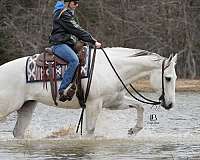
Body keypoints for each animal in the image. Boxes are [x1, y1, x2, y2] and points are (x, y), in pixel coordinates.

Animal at [0, 47, 177, 138]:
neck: (111, 68)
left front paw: (133, 130)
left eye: (175, 78)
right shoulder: (94, 105)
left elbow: (140, 106)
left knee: (18, 132)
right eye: (167, 78)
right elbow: (90, 132)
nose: (170, 104)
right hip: (7, 107)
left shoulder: (114, 102)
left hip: (27, 106)